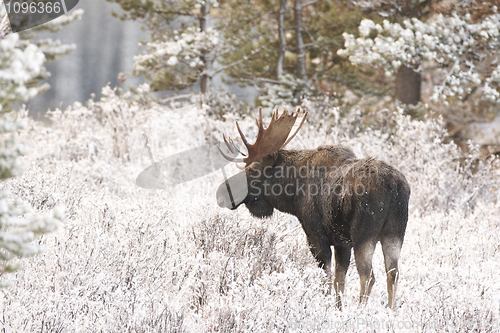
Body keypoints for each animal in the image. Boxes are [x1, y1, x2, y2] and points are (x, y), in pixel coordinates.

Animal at [216, 107, 410, 308]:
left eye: (253, 168)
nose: (220, 194)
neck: (293, 194)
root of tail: (394, 187)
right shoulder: (342, 243)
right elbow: (339, 281)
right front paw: (338, 309)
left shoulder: (316, 236)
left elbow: (326, 279)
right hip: (394, 232)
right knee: (393, 274)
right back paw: (390, 310)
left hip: (364, 234)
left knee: (368, 276)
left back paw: (360, 310)